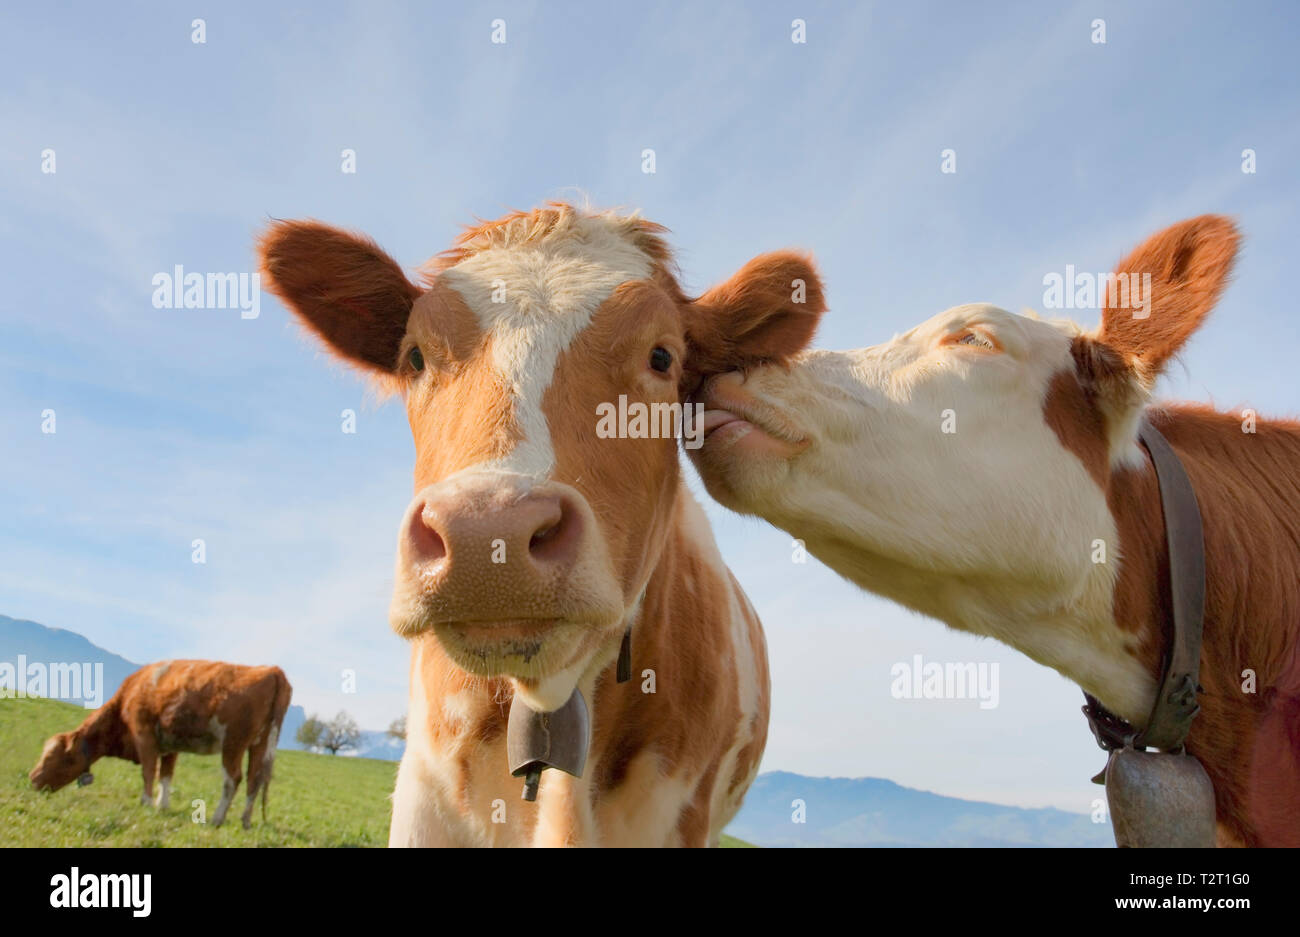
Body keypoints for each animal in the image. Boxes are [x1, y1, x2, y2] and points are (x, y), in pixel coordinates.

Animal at [28, 657, 295, 826]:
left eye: (53, 757)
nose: (32, 779)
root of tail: (271, 670)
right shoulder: (170, 744)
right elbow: (165, 775)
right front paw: (162, 805)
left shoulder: (144, 734)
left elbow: (148, 771)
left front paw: (146, 803)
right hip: (259, 744)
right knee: (254, 780)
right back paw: (245, 820)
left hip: (233, 743)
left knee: (233, 780)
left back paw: (217, 818)